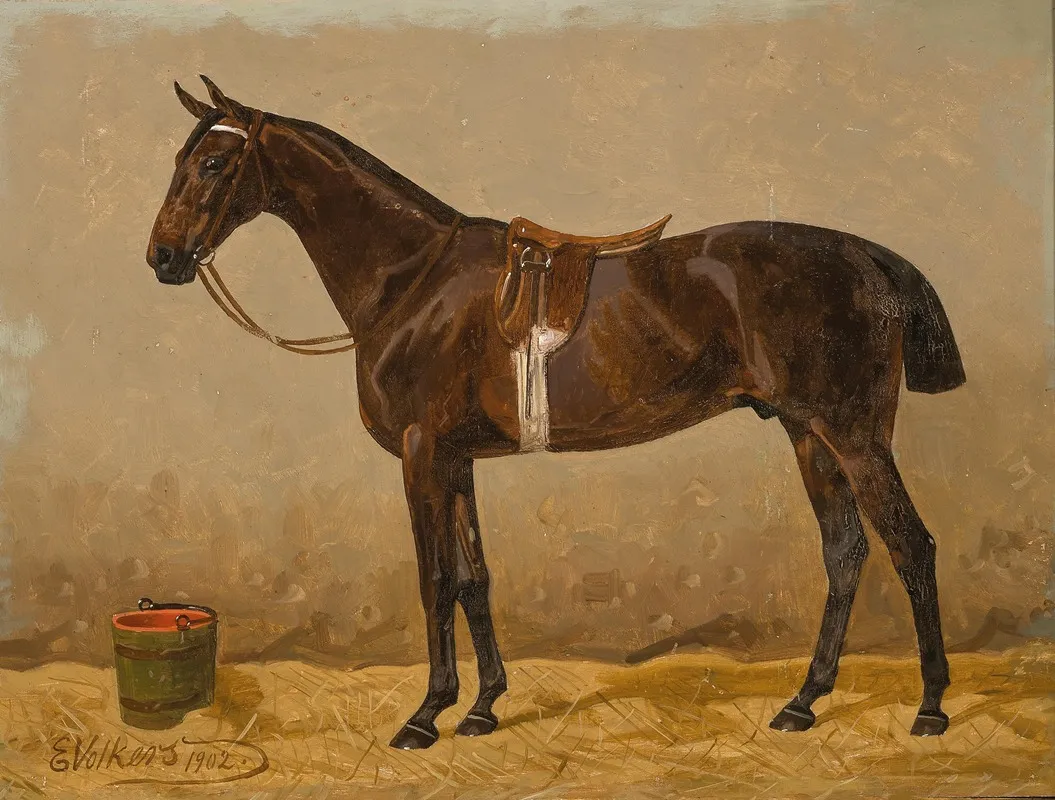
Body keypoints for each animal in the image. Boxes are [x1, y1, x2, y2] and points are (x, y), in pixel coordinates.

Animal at [145, 76, 966, 750]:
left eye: (214, 163)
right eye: (181, 159)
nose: (163, 257)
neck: (412, 281)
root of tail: (867, 256)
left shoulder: (421, 451)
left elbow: (434, 579)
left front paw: (426, 715)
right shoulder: (456, 458)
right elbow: (474, 577)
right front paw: (482, 707)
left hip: (853, 435)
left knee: (910, 546)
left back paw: (930, 707)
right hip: (806, 433)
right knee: (845, 551)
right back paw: (803, 702)